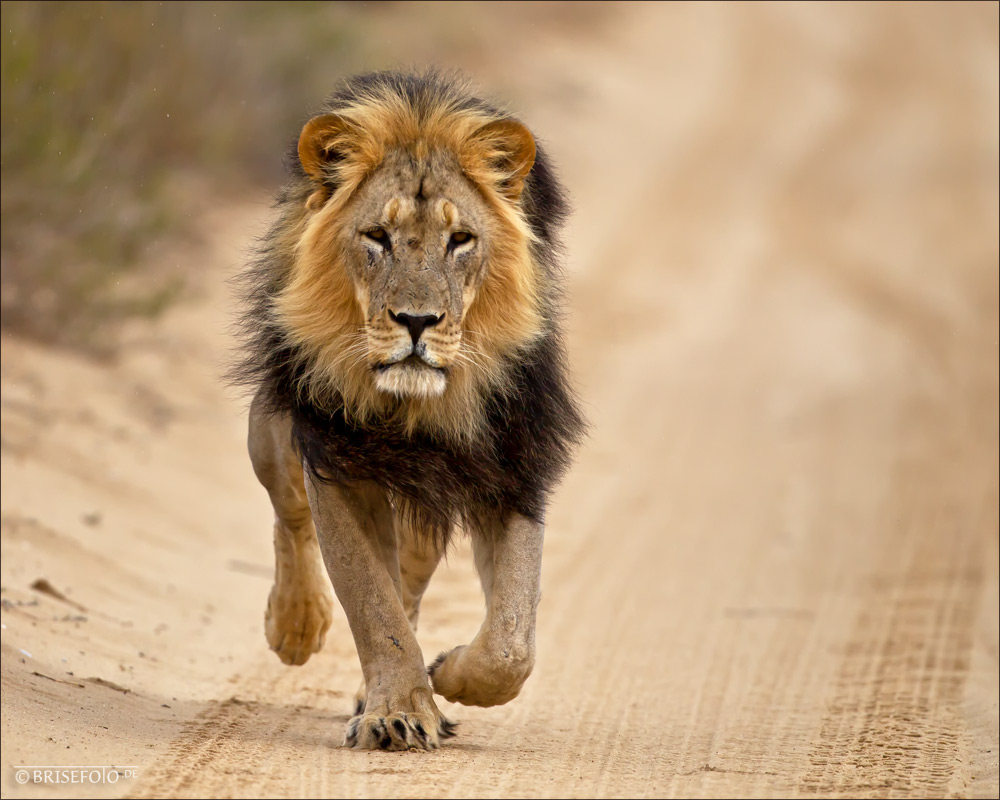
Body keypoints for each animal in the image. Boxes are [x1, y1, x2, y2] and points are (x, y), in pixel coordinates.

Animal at [235, 70, 584, 752]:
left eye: (460, 241)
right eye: (377, 237)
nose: (417, 321)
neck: (421, 405)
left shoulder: (513, 467)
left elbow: (512, 641)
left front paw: (445, 675)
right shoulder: (337, 463)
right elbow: (374, 604)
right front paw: (398, 711)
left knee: (413, 578)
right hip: (274, 436)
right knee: (289, 513)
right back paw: (297, 624)